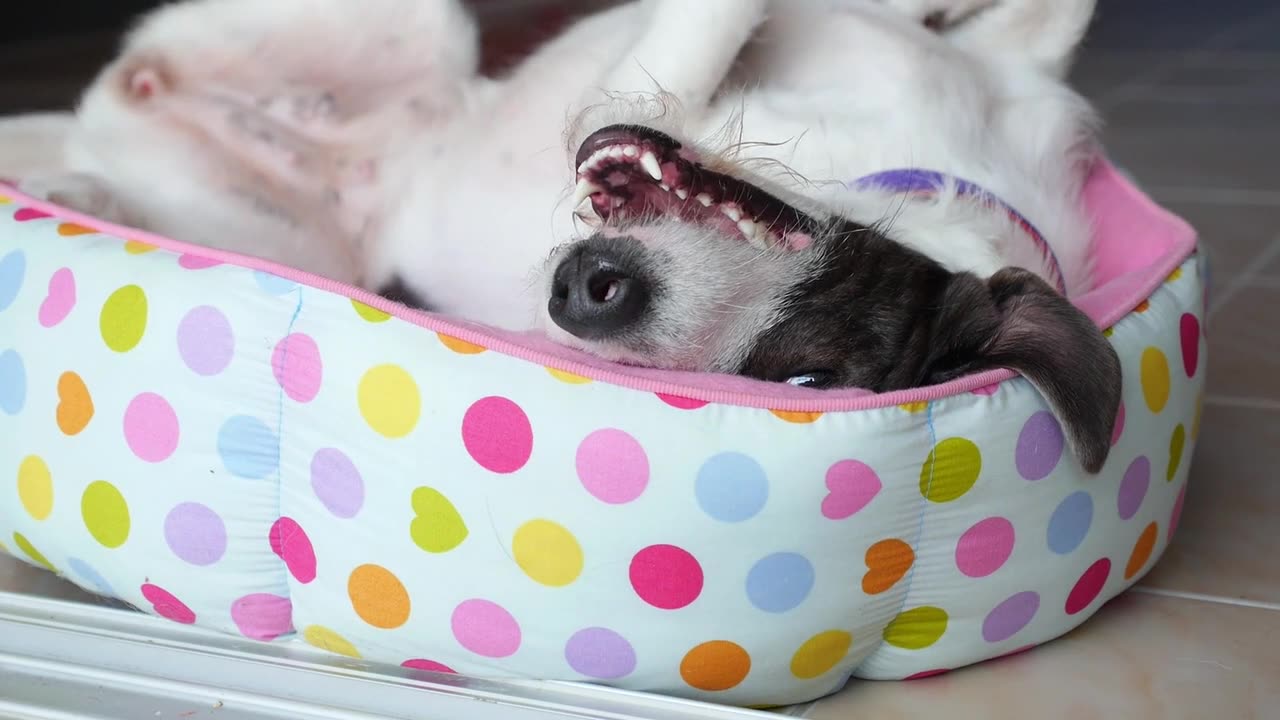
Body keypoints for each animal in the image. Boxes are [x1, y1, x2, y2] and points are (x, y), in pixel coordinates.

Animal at [0, 0, 1121, 471]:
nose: (586, 290)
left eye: (804, 385)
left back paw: (68, 181)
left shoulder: (623, 95)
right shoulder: (1002, 64)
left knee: (122, 122)